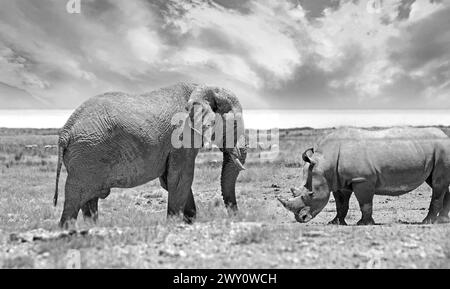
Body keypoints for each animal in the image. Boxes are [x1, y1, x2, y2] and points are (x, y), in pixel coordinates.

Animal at [54, 82, 248, 227]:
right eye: (235, 125)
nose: (235, 216)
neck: (203, 87)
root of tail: (66, 131)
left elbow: (170, 179)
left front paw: (189, 221)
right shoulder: (181, 137)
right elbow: (180, 178)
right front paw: (174, 223)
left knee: (89, 201)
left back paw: (92, 227)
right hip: (86, 155)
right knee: (75, 198)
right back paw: (68, 231)